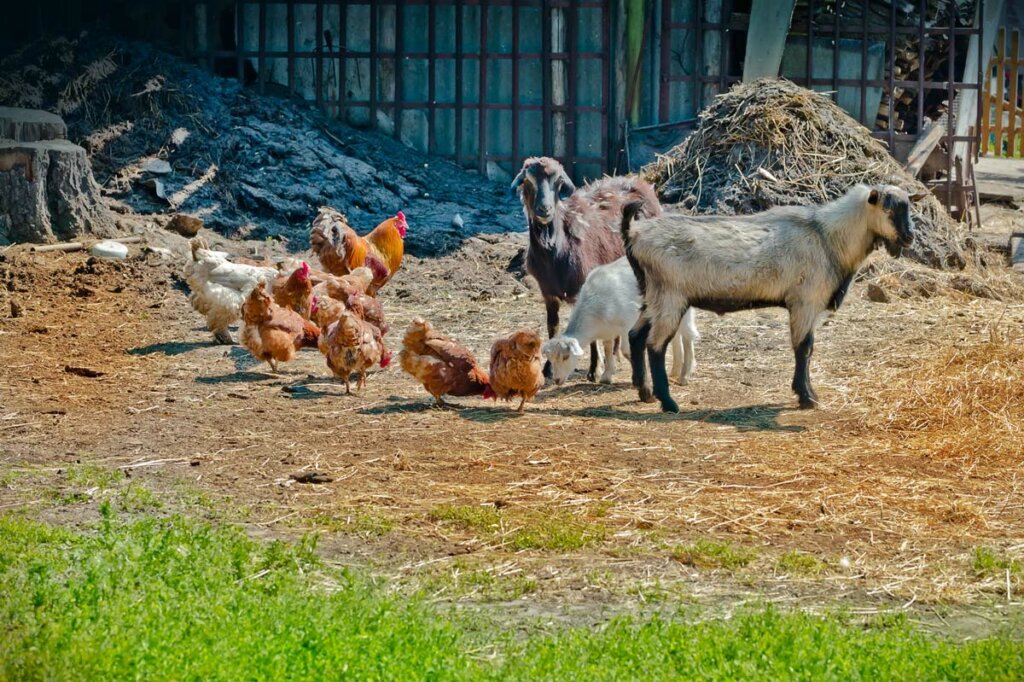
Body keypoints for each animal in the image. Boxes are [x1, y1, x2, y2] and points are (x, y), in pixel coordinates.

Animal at [512, 157, 663, 378]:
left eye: (558, 182)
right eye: (527, 181)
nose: (544, 210)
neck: (556, 252)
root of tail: (640, 182)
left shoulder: (582, 286)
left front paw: (594, 369)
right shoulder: (547, 291)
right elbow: (552, 326)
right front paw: (548, 369)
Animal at [618, 183, 925, 411]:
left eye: (909, 207)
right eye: (888, 208)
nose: (909, 238)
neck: (827, 237)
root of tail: (634, 232)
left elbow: (805, 349)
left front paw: (806, 394)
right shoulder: (804, 302)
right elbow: (804, 348)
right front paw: (806, 397)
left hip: (653, 296)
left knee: (635, 335)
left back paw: (645, 392)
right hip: (670, 297)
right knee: (655, 345)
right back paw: (668, 402)